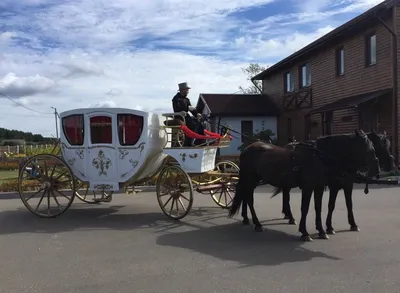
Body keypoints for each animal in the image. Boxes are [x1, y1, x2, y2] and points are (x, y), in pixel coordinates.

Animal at [227, 129, 380, 240]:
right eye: (365, 148)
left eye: (374, 147)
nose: (376, 169)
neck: (320, 157)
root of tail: (247, 148)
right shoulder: (309, 187)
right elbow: (305, 208)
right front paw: (305, 232)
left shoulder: (320, 187)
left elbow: (319, 207)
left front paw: (322, 230)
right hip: (250, 179)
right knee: (249, 199)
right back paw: (257, 223)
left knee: (247, 196)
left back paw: (248, 219)